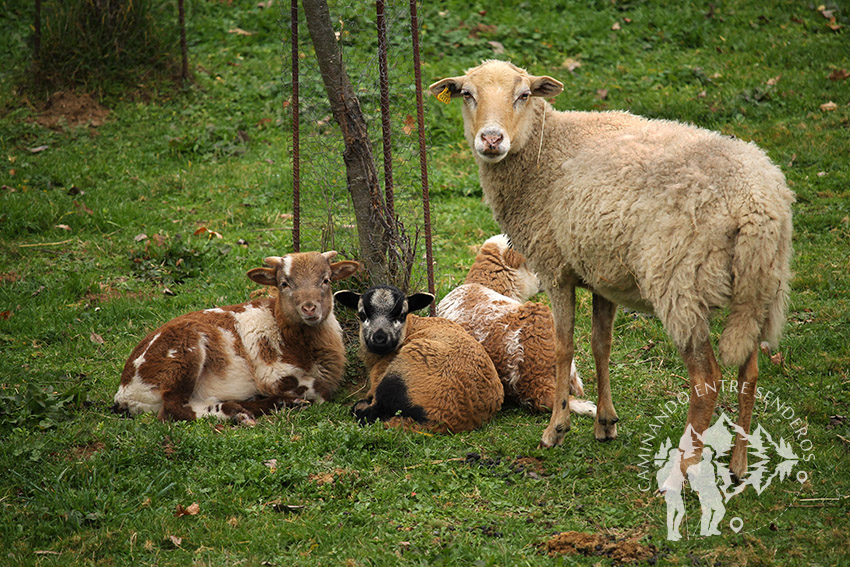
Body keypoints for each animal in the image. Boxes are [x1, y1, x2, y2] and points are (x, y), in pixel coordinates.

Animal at [112, 251, 358, 424]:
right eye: (284, 284)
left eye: (326, 280)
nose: (309, 308)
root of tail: (125, 393)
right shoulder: (272, 372)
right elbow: (323, 390)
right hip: (182, 354)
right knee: (173, 409)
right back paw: (235, 413)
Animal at [332, 284, 504, 434]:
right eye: (362, 314)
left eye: (401, 315)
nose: (380, 338)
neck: (411, 327)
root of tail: (441, 421)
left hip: (402, 374)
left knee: (371, 414)